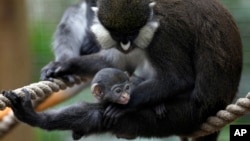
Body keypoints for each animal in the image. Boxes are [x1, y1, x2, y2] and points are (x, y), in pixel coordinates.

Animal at [6, 0, 242, 141]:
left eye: (132, 32)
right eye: (117, 34)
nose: (126, 43)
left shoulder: (164, 33)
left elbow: (177, 78)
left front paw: (125, 106)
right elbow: (116, 64)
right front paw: (63, 66)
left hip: (186, 115)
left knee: (97, 115)